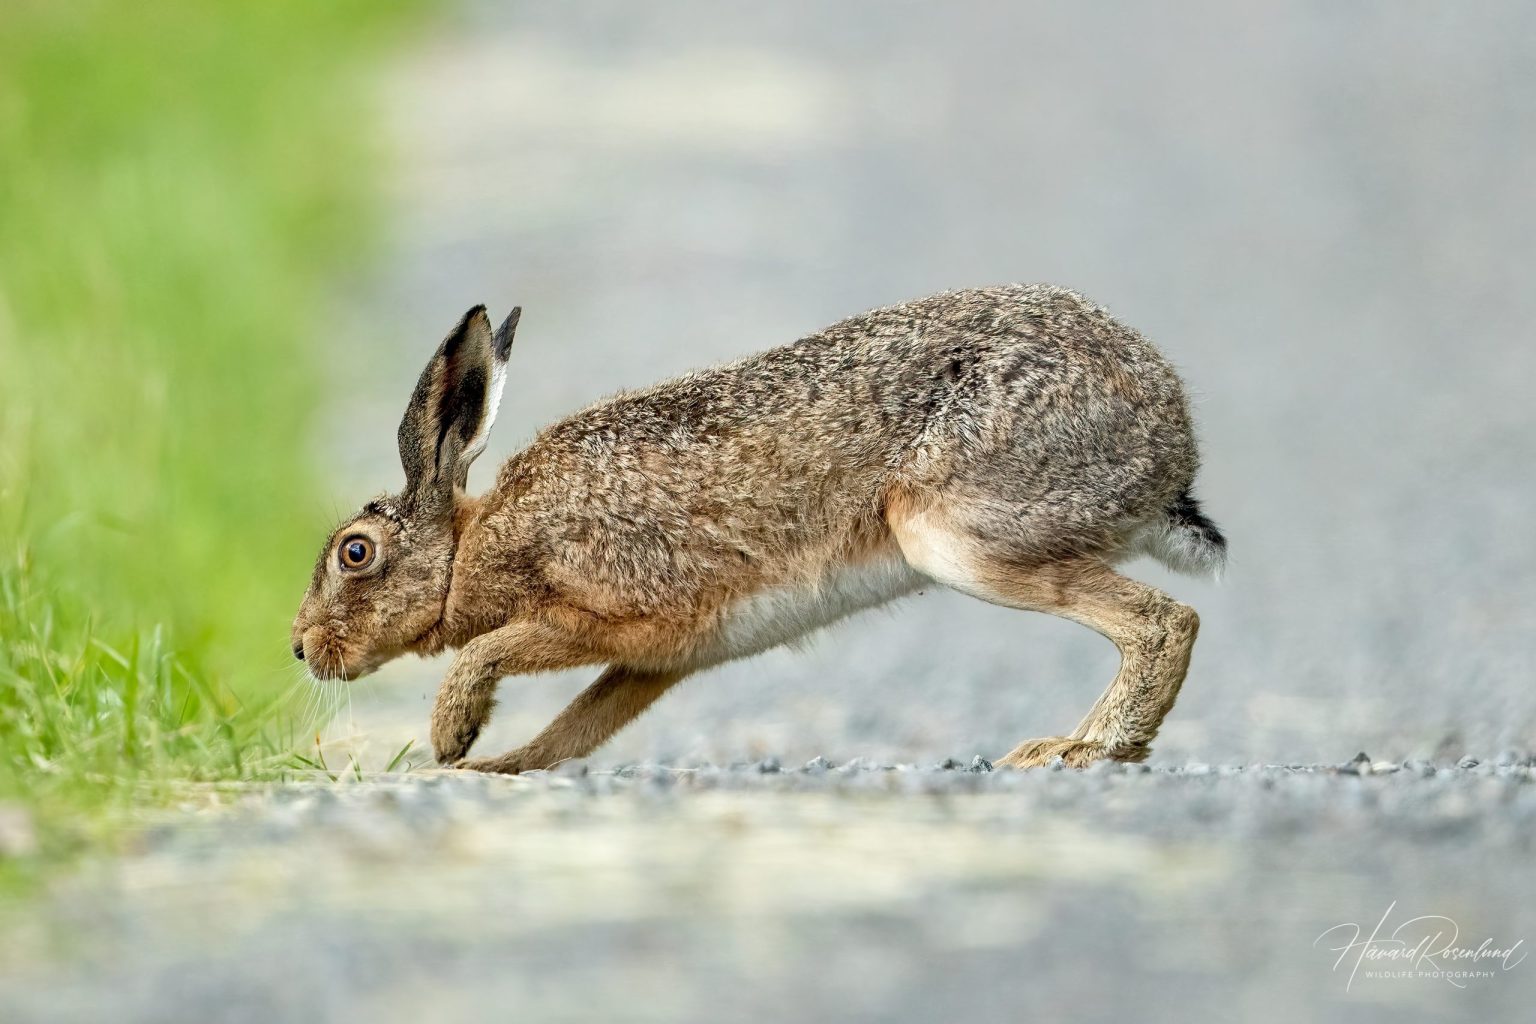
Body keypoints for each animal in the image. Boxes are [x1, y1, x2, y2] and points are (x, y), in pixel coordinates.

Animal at [291, 284, 1226, 772]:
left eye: (354, 553)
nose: (300, 649)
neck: (475, 546)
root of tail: (1171, 445)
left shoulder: (607, 613)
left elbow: (493, 651)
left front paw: (453, 738)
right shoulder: (655, 662)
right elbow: (580, 726)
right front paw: (501, 769)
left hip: (960, 533)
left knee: (1166, 623)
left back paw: (1079, 751)